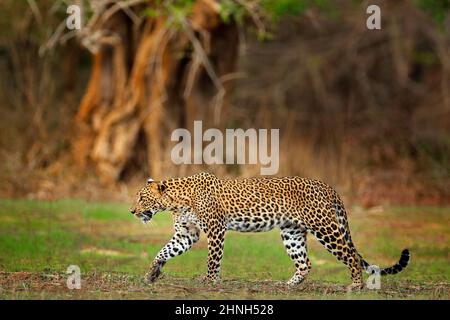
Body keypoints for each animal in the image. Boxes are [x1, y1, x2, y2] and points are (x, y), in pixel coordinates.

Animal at [128, 172, 410, 290]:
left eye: (141, 198)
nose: (132, 211)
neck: (177, 200)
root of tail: (329, 187)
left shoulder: (216, 229)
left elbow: (213, 259)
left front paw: (210, 281)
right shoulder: (186, 234)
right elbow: (164, 251)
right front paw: (152, 274)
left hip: (325, 228)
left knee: (350, 255)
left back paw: (355, 285)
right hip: (292, 233)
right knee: (305, 263)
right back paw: (288, 285)